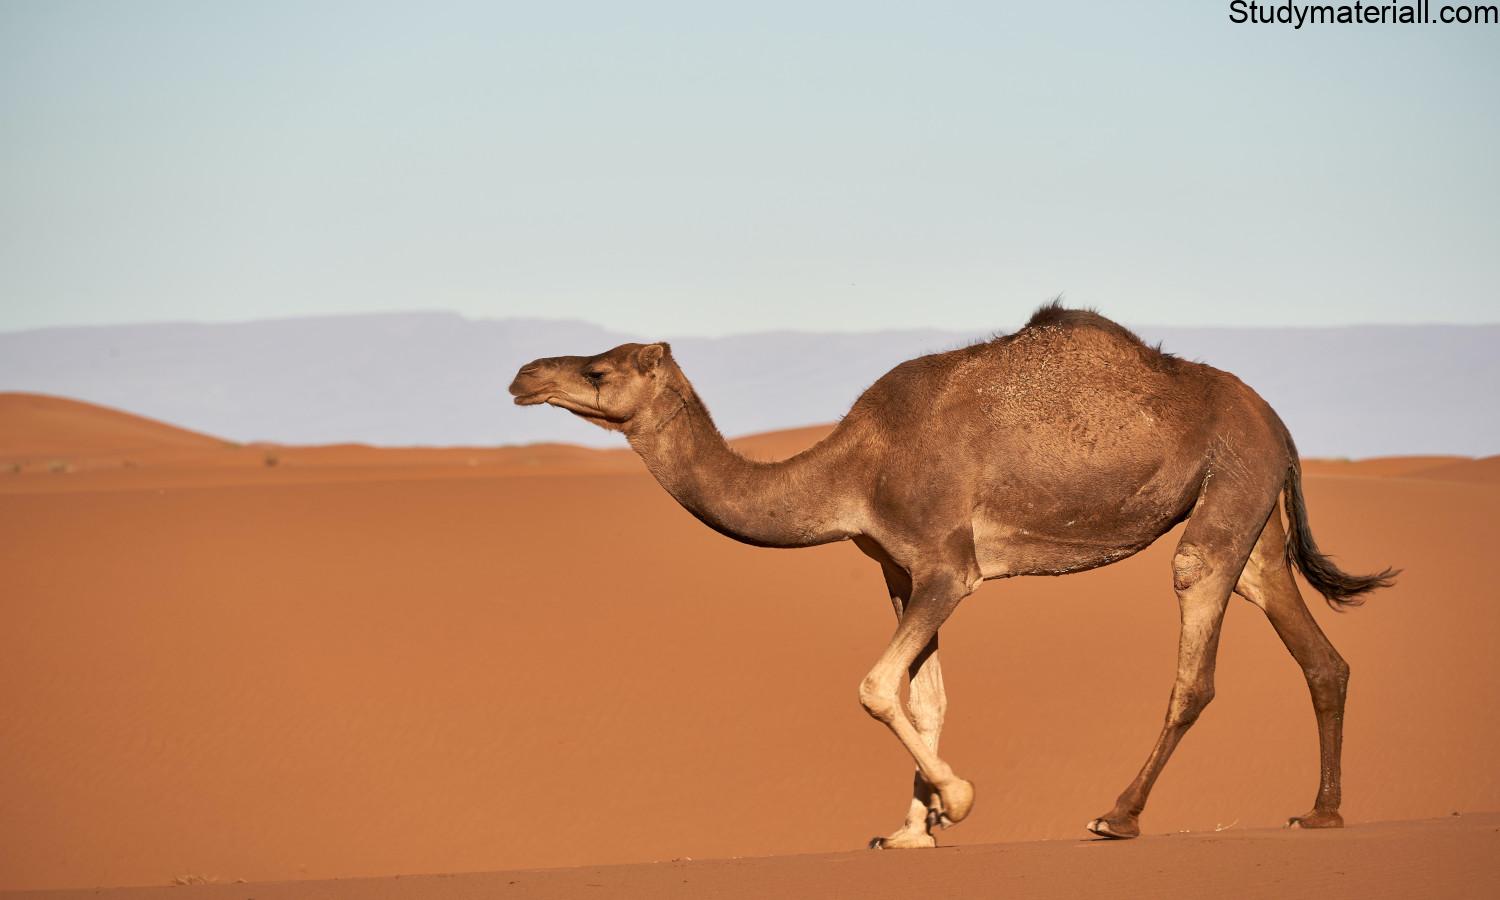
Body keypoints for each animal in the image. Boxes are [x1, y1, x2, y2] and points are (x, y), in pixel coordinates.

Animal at [508, 302, 1396, 848]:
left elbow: (875, 686)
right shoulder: (899, 572)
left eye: (601, 371)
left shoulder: (948, 565)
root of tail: (1279, 425)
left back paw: (1118, 816)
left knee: (1195, 658)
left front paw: (955, 802)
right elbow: (923, 694)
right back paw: (1321, 813)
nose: (524, 376)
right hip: (1252, 514)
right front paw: (911, 828)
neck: (854, 468)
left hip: (1227, 491)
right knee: (1316, 651)